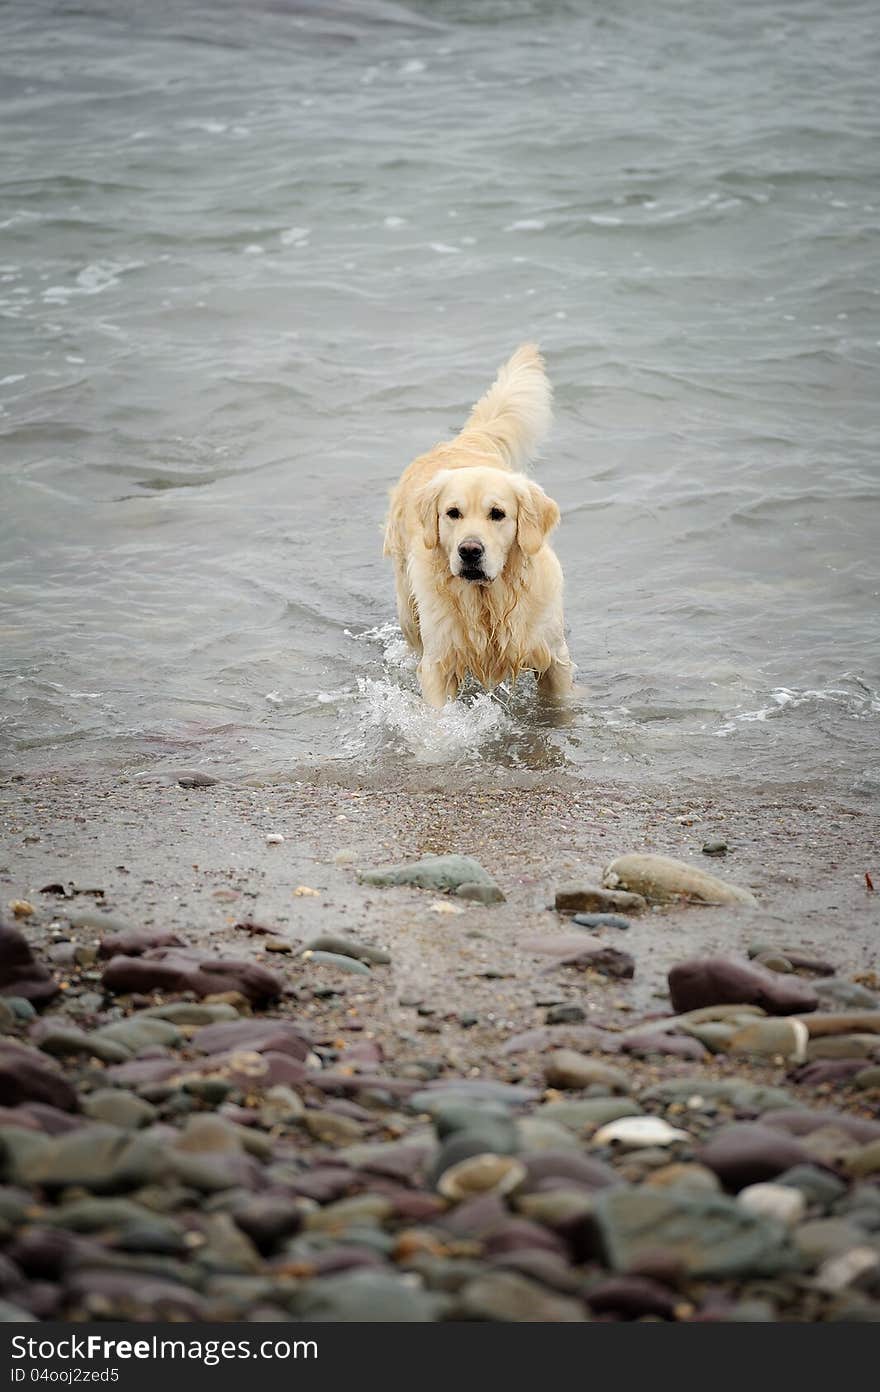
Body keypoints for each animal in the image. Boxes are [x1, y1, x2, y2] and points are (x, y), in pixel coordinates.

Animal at [384, 348, 573, 707]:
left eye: (497, 514)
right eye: (452, 513)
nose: (469, 551)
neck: (489, 602)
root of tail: (462, 441)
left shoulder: (553, 657)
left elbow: (560, 706)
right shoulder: (439, 662)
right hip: (409, 611)